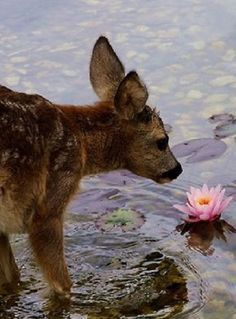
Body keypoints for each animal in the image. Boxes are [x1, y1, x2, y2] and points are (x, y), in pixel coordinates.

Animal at [0, 37, 183, 298]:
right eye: (162, 140)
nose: (177, 169)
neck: (82, 141)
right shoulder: (49, 204)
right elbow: (62, 285)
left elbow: (11, 279)